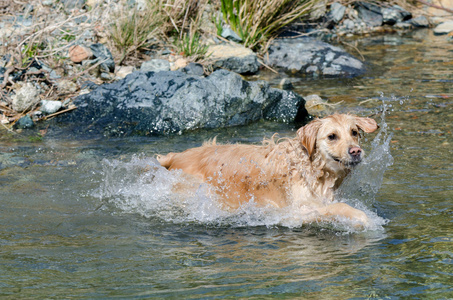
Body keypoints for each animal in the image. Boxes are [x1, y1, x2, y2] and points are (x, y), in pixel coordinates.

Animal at [157, 113, 380, 226]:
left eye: (354, 132)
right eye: (332, 136)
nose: (356, 151)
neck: (311, 168)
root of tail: (177, 155)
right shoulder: (295, 210)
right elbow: (338, 208)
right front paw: (364, 218)